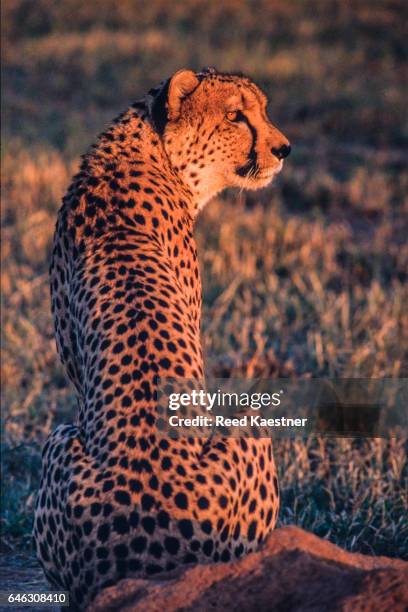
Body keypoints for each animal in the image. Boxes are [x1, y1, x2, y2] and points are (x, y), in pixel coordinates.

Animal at [34, 67, 290, 608]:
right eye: (235, 116)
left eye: (261, 109)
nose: (284, 149)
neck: (149, 150)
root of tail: (144, 560)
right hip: (244, 423)